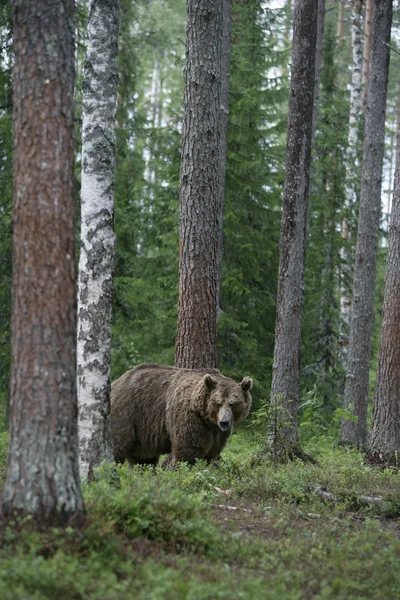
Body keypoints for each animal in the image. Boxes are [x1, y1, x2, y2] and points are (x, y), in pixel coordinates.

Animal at [109, 364, 253, 466]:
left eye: (233, 403)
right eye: (218, 403)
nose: (224, 422)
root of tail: (115, 383)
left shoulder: (217, 433)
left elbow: (211, 453)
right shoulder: (189, 417)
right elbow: (188, 451)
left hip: (143, 433)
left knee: (143, 460)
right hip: (126, 414)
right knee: (117, 446)